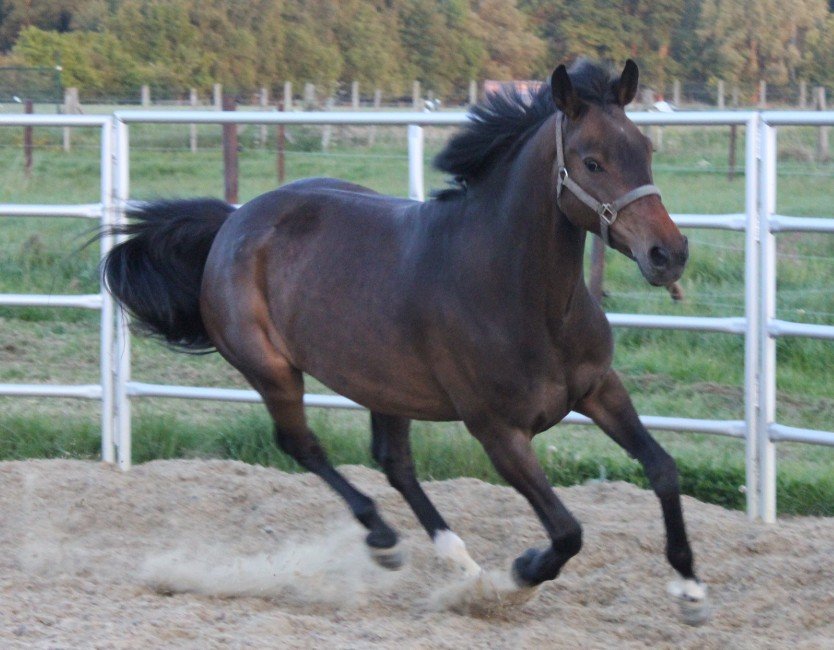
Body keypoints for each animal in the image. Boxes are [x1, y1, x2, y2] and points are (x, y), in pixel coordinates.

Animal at [99, 60, 708, 624]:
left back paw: (458, 563)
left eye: (645, 148)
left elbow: (663, 469)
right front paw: (513, 579)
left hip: (385, 385)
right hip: (271, 369)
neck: (520, 294)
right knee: (304, 446)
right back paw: (388, 543)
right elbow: (566, 531)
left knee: (394, 463)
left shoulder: (599, 389)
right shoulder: (499, 432)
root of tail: (232, 222)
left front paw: (691, 591)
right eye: (591, 161)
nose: (669, 254)